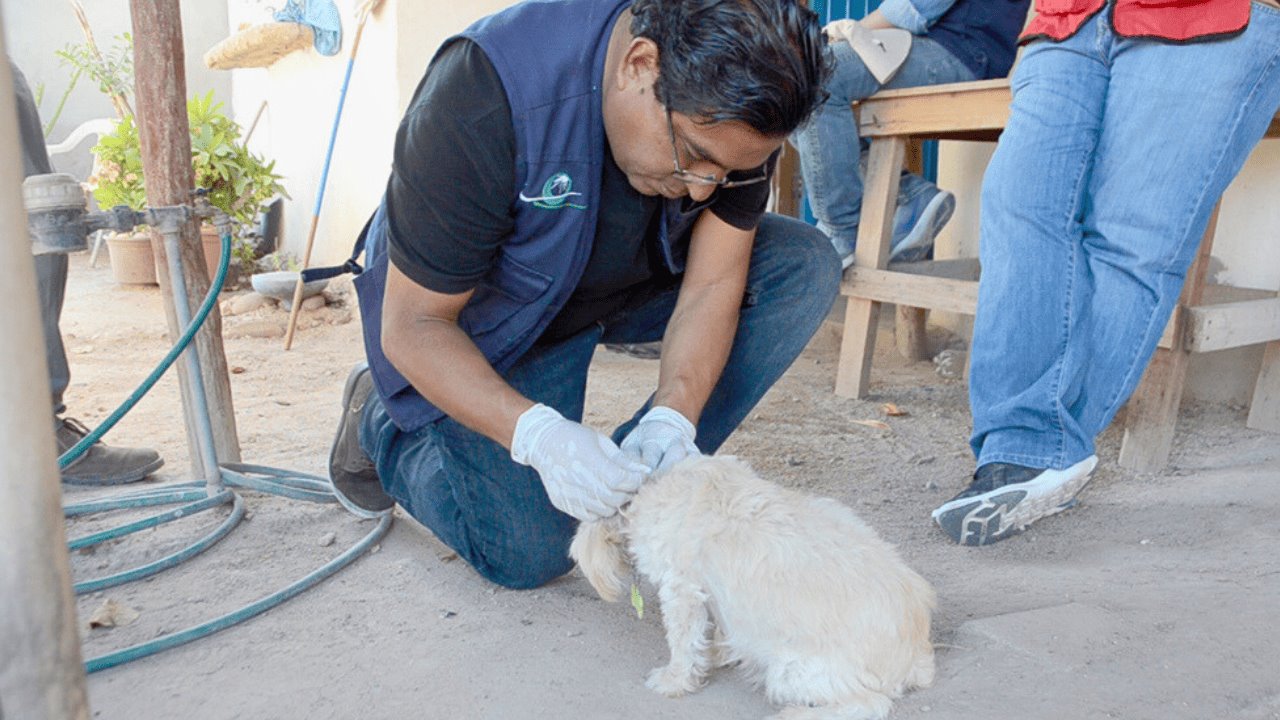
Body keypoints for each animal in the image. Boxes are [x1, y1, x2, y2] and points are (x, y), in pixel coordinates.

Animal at [570, 453, 931, 717]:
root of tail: (915, 657)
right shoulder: (709, 593)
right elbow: (714, 630)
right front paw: (717, 654)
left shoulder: (681, 590)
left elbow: (683, 643)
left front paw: (674, 680)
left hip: (790, 671)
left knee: (870, 705)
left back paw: (796, 714)